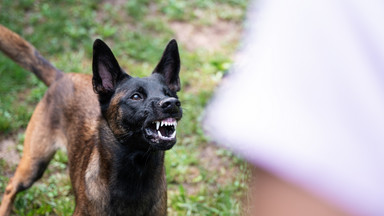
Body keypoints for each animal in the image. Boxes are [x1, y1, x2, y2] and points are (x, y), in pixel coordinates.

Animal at [0, 24, 183, 215]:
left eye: (168, 93)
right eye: (136, 96)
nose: (172, 103)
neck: (137, 171)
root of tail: (61, 76)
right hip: (34, 163)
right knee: (11, 186)